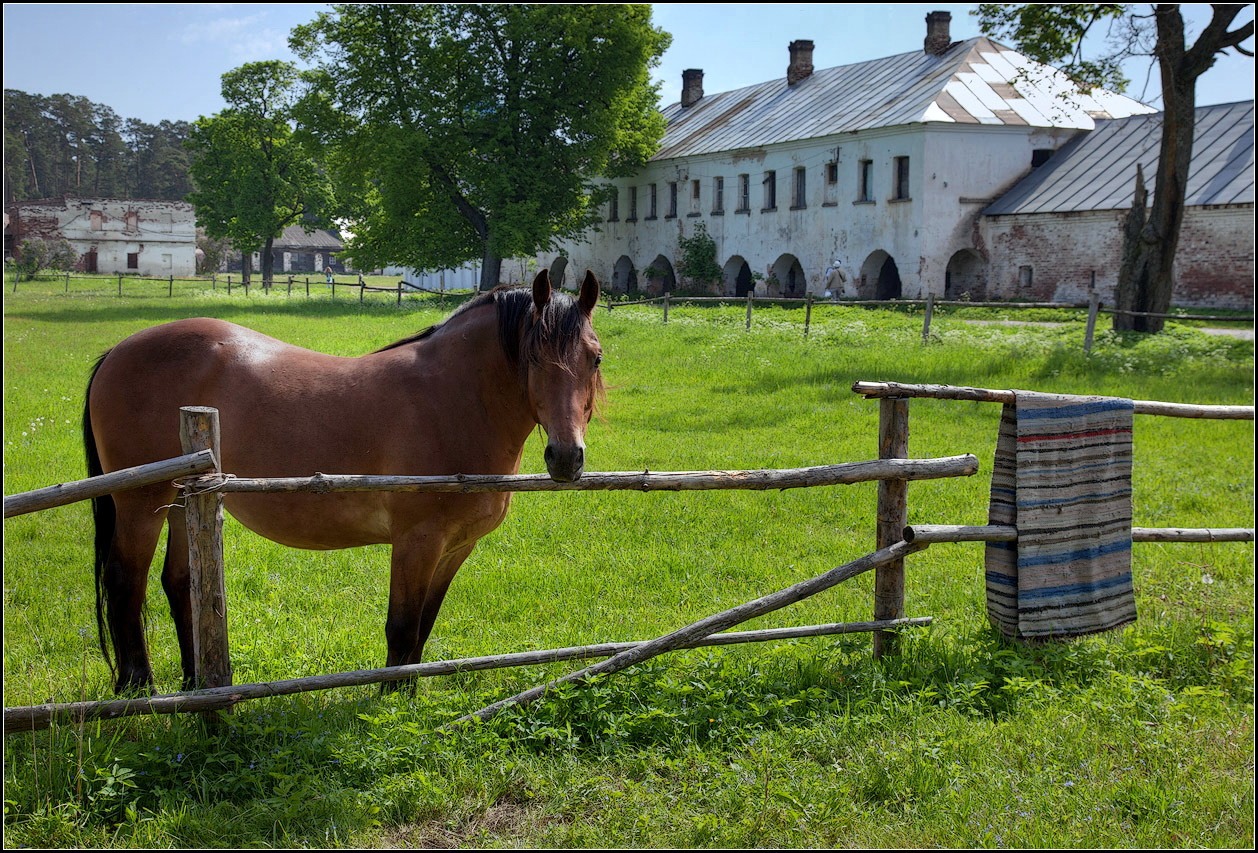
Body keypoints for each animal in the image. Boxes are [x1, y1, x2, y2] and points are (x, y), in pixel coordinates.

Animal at [84, 270, 603, 699]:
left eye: (595, 359)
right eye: (533, 357)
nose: (566, 457)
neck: (452, 400)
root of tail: (117, 351)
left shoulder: (456, 547)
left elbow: (423, 627)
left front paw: (407, 696)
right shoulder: (417, 542)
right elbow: (402, 627)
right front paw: (391, 702)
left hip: (180, 502)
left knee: (180, 583)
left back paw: (196, 684)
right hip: (141, 504)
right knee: (125, 581)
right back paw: (138, 689)